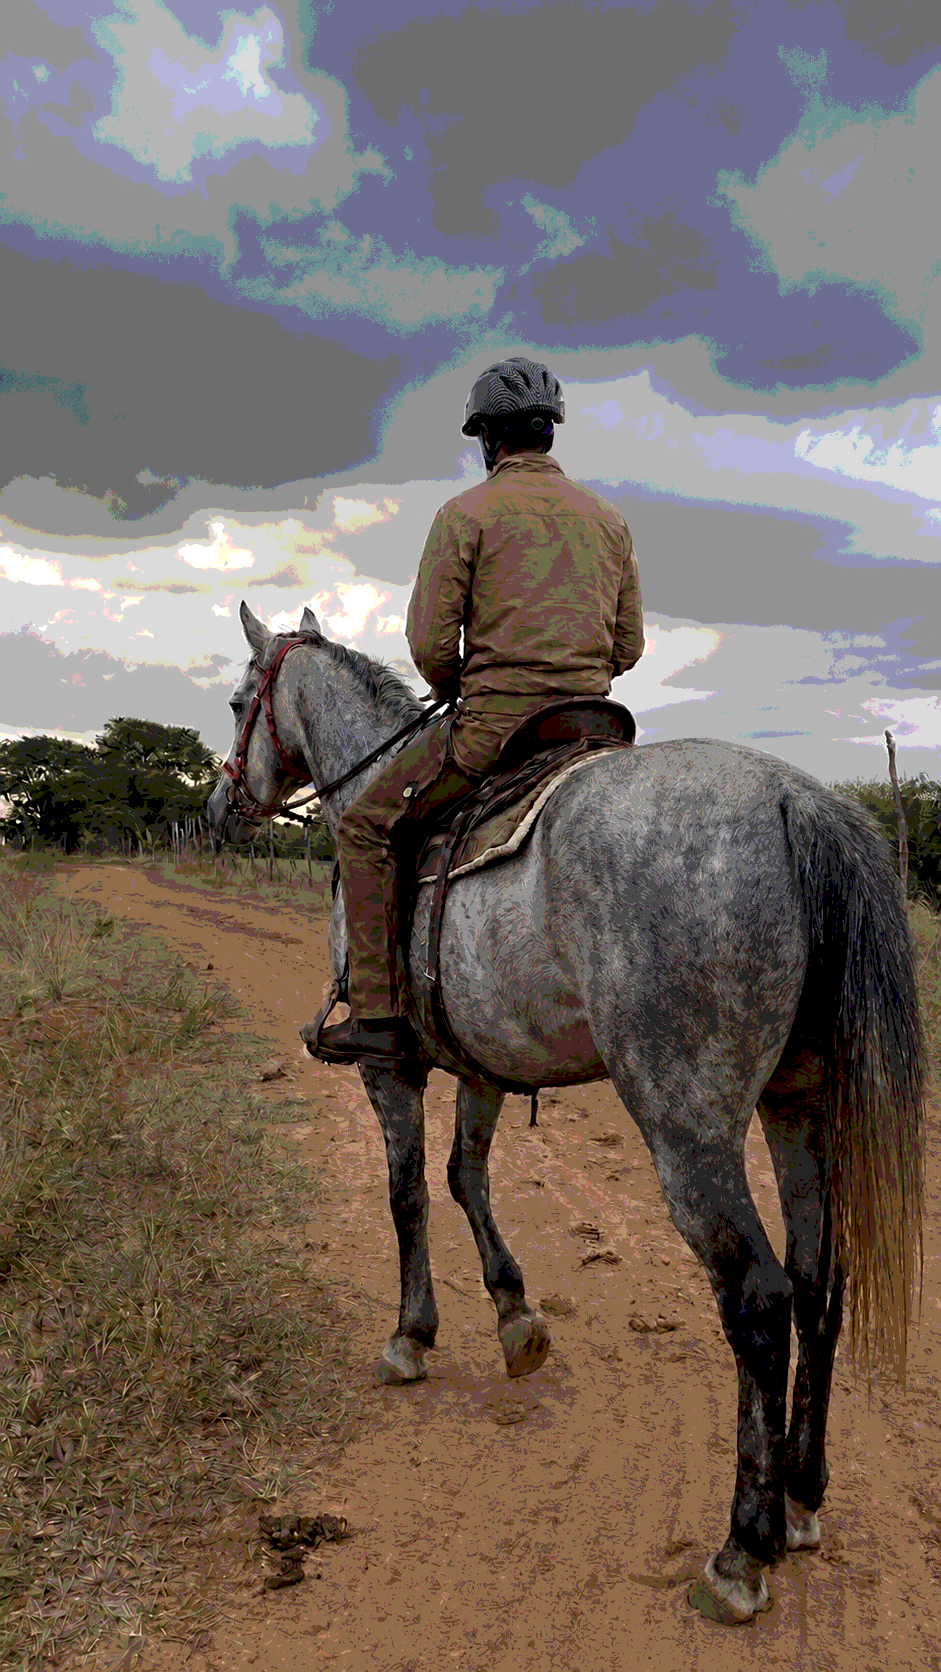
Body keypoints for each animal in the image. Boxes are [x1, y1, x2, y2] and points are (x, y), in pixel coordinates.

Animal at [207, 599, 925, 1627]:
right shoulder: (479, 1062)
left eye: (238, 703)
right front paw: (515, 1318)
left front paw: (411, 1335)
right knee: (820, 1279)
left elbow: (407, 1193)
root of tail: (800, 802)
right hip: (798, 1108)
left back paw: (741, 1548)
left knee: (758, 1296)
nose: (219, 808)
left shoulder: (392, 1071)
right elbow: (466, 1179)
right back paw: (799, 1497)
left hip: (686, 1124)